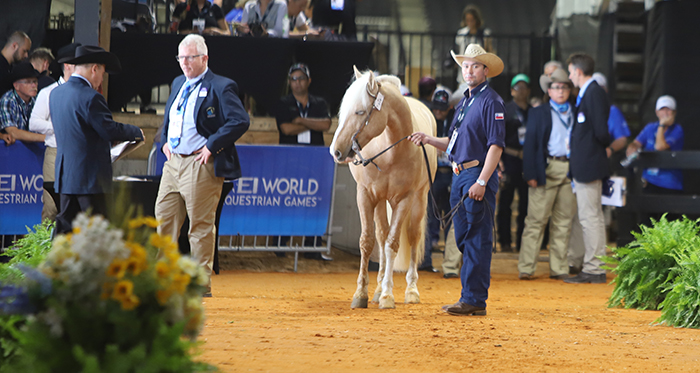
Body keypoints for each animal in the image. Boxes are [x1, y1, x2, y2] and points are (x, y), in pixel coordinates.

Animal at [330, 67, 434, 308]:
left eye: (360, 112)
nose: (335, 151)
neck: (390, 152)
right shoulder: (366, 195)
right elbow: (367, 242)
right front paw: (362, 293)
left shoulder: (405, 198)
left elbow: (392, 244)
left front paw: (388, 295)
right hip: (381, 202)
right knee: (381, 235)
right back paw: (377, 289)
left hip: (419, 198)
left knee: (412, 236)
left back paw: (411, 290)